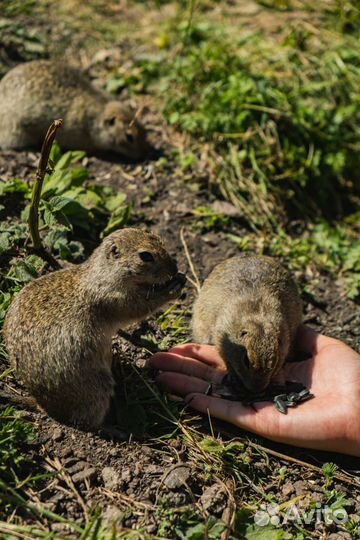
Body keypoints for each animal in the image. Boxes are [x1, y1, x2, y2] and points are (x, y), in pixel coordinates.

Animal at [4, 228, 186, 430]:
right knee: (87, 422)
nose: (174, 269)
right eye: (145, 256)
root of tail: (43, 405)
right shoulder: (115, 299)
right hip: (98, 388)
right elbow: (141, 306)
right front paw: (172, 289)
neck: (105, 273)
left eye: (159, 239)